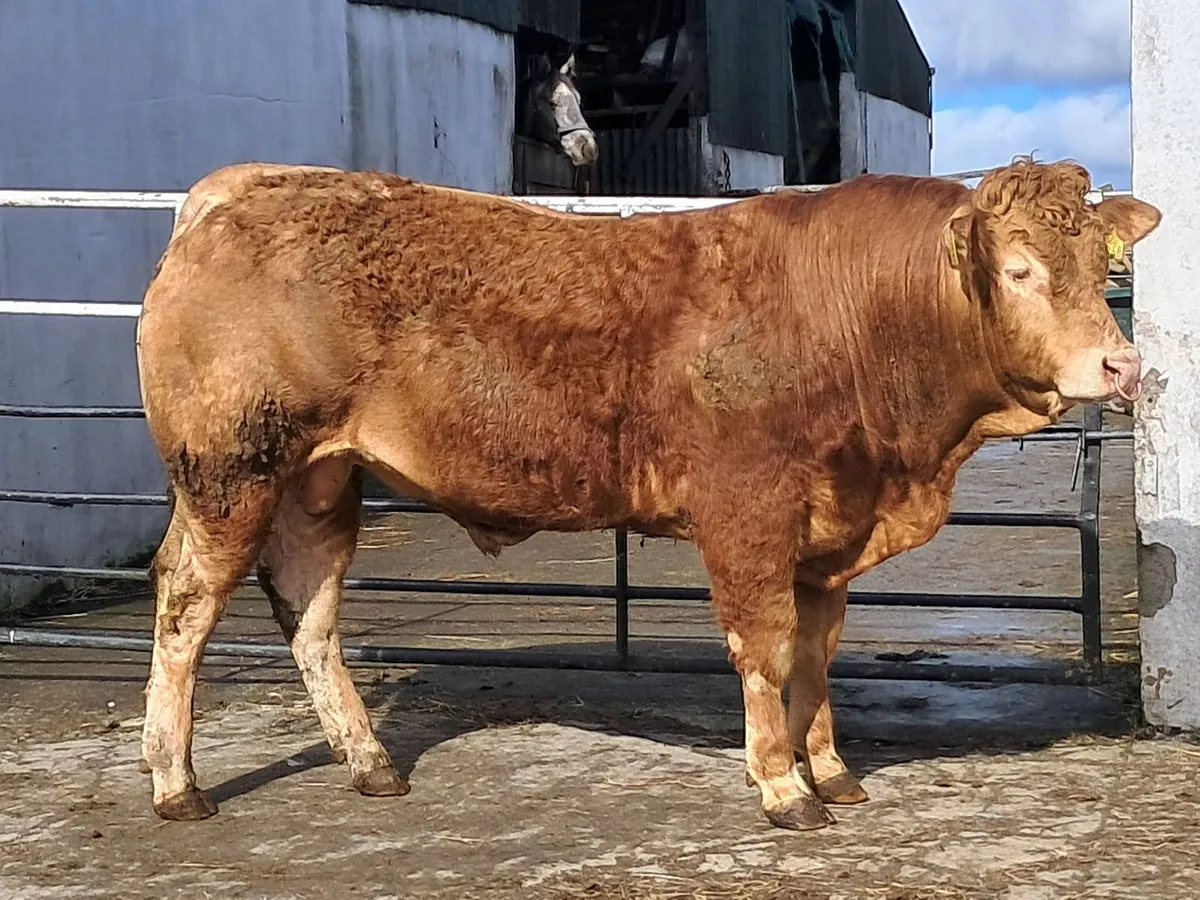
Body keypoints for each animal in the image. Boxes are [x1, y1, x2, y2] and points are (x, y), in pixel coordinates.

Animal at [134, 158, 1160, 831]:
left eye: (1102, 267)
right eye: (1020, 270)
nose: (1122, 365)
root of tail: (230, 192)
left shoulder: (830, 534)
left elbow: (818, 654)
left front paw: (829, 770)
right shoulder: (747, 516)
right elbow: (766, 649)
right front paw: (781, 787)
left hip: (319, 481)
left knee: (310, 611)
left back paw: (370, 763)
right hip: (230, 473)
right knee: (185, 604)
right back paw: (176, 783)